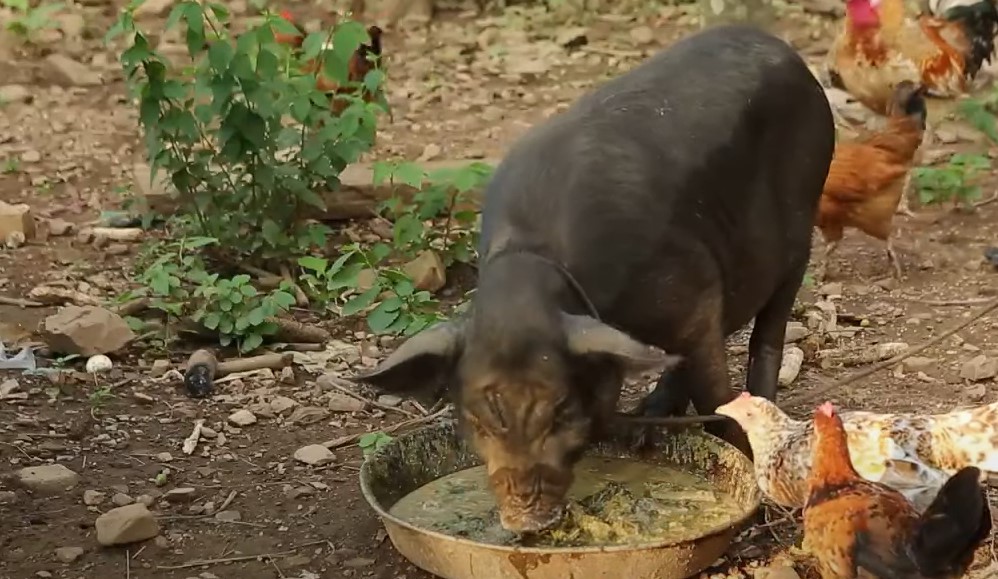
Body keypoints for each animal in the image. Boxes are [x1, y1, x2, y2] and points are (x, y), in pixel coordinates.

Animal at [352, 24, 835, 533]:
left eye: (562, 409)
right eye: (478, 419)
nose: (524, 521)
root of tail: (785, 51)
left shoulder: (696, 297)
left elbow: (714, 397)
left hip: (801, 227)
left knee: (770, 329)